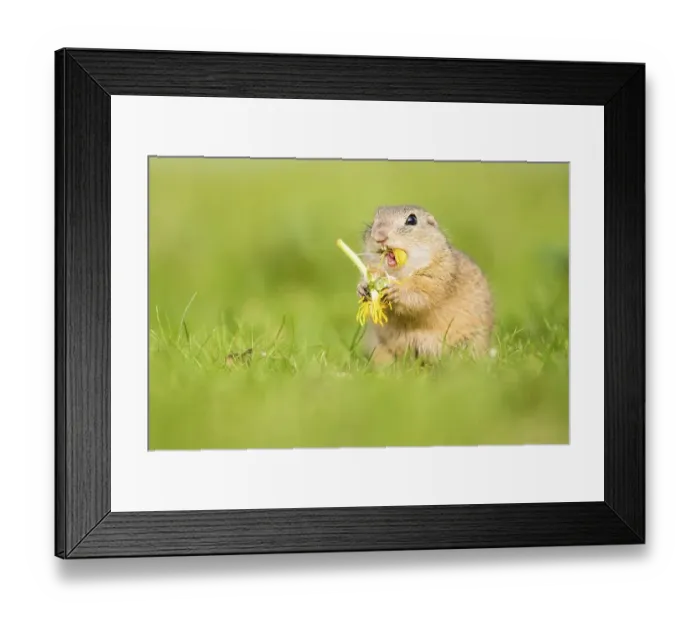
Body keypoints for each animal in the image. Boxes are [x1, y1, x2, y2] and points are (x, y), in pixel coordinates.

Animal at [357, 205, 494, 364]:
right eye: (374, 219)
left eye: (412, 220)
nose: (379, 236)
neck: (399, 274)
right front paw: (362, 287)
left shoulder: (436, 277)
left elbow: (421, 297)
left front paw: (396, 291)